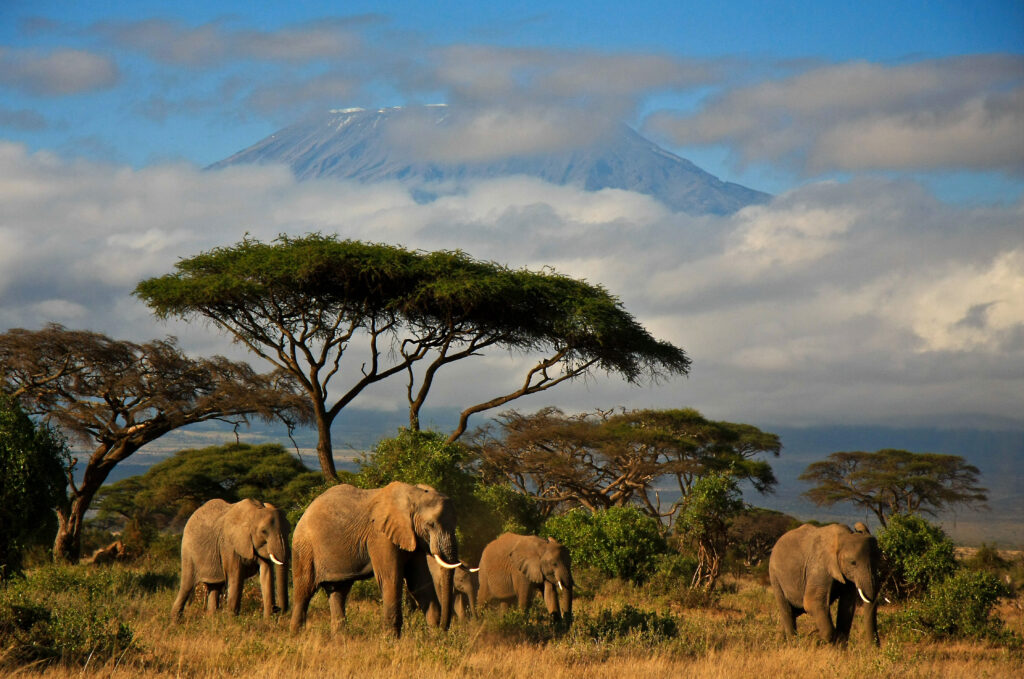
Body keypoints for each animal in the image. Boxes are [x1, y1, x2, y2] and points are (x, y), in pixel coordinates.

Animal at [290, 481, 462, 637]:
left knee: (338, 592)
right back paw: (297, 636)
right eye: (430, 524)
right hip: (304, 548)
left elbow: (419, 583)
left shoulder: (414, 537)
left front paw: (434, 637)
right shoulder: (380, 536)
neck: (413, 495)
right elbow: (390, 579)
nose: (444, 629)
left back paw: (340, 640)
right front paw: (391, 641)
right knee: (304, 590)